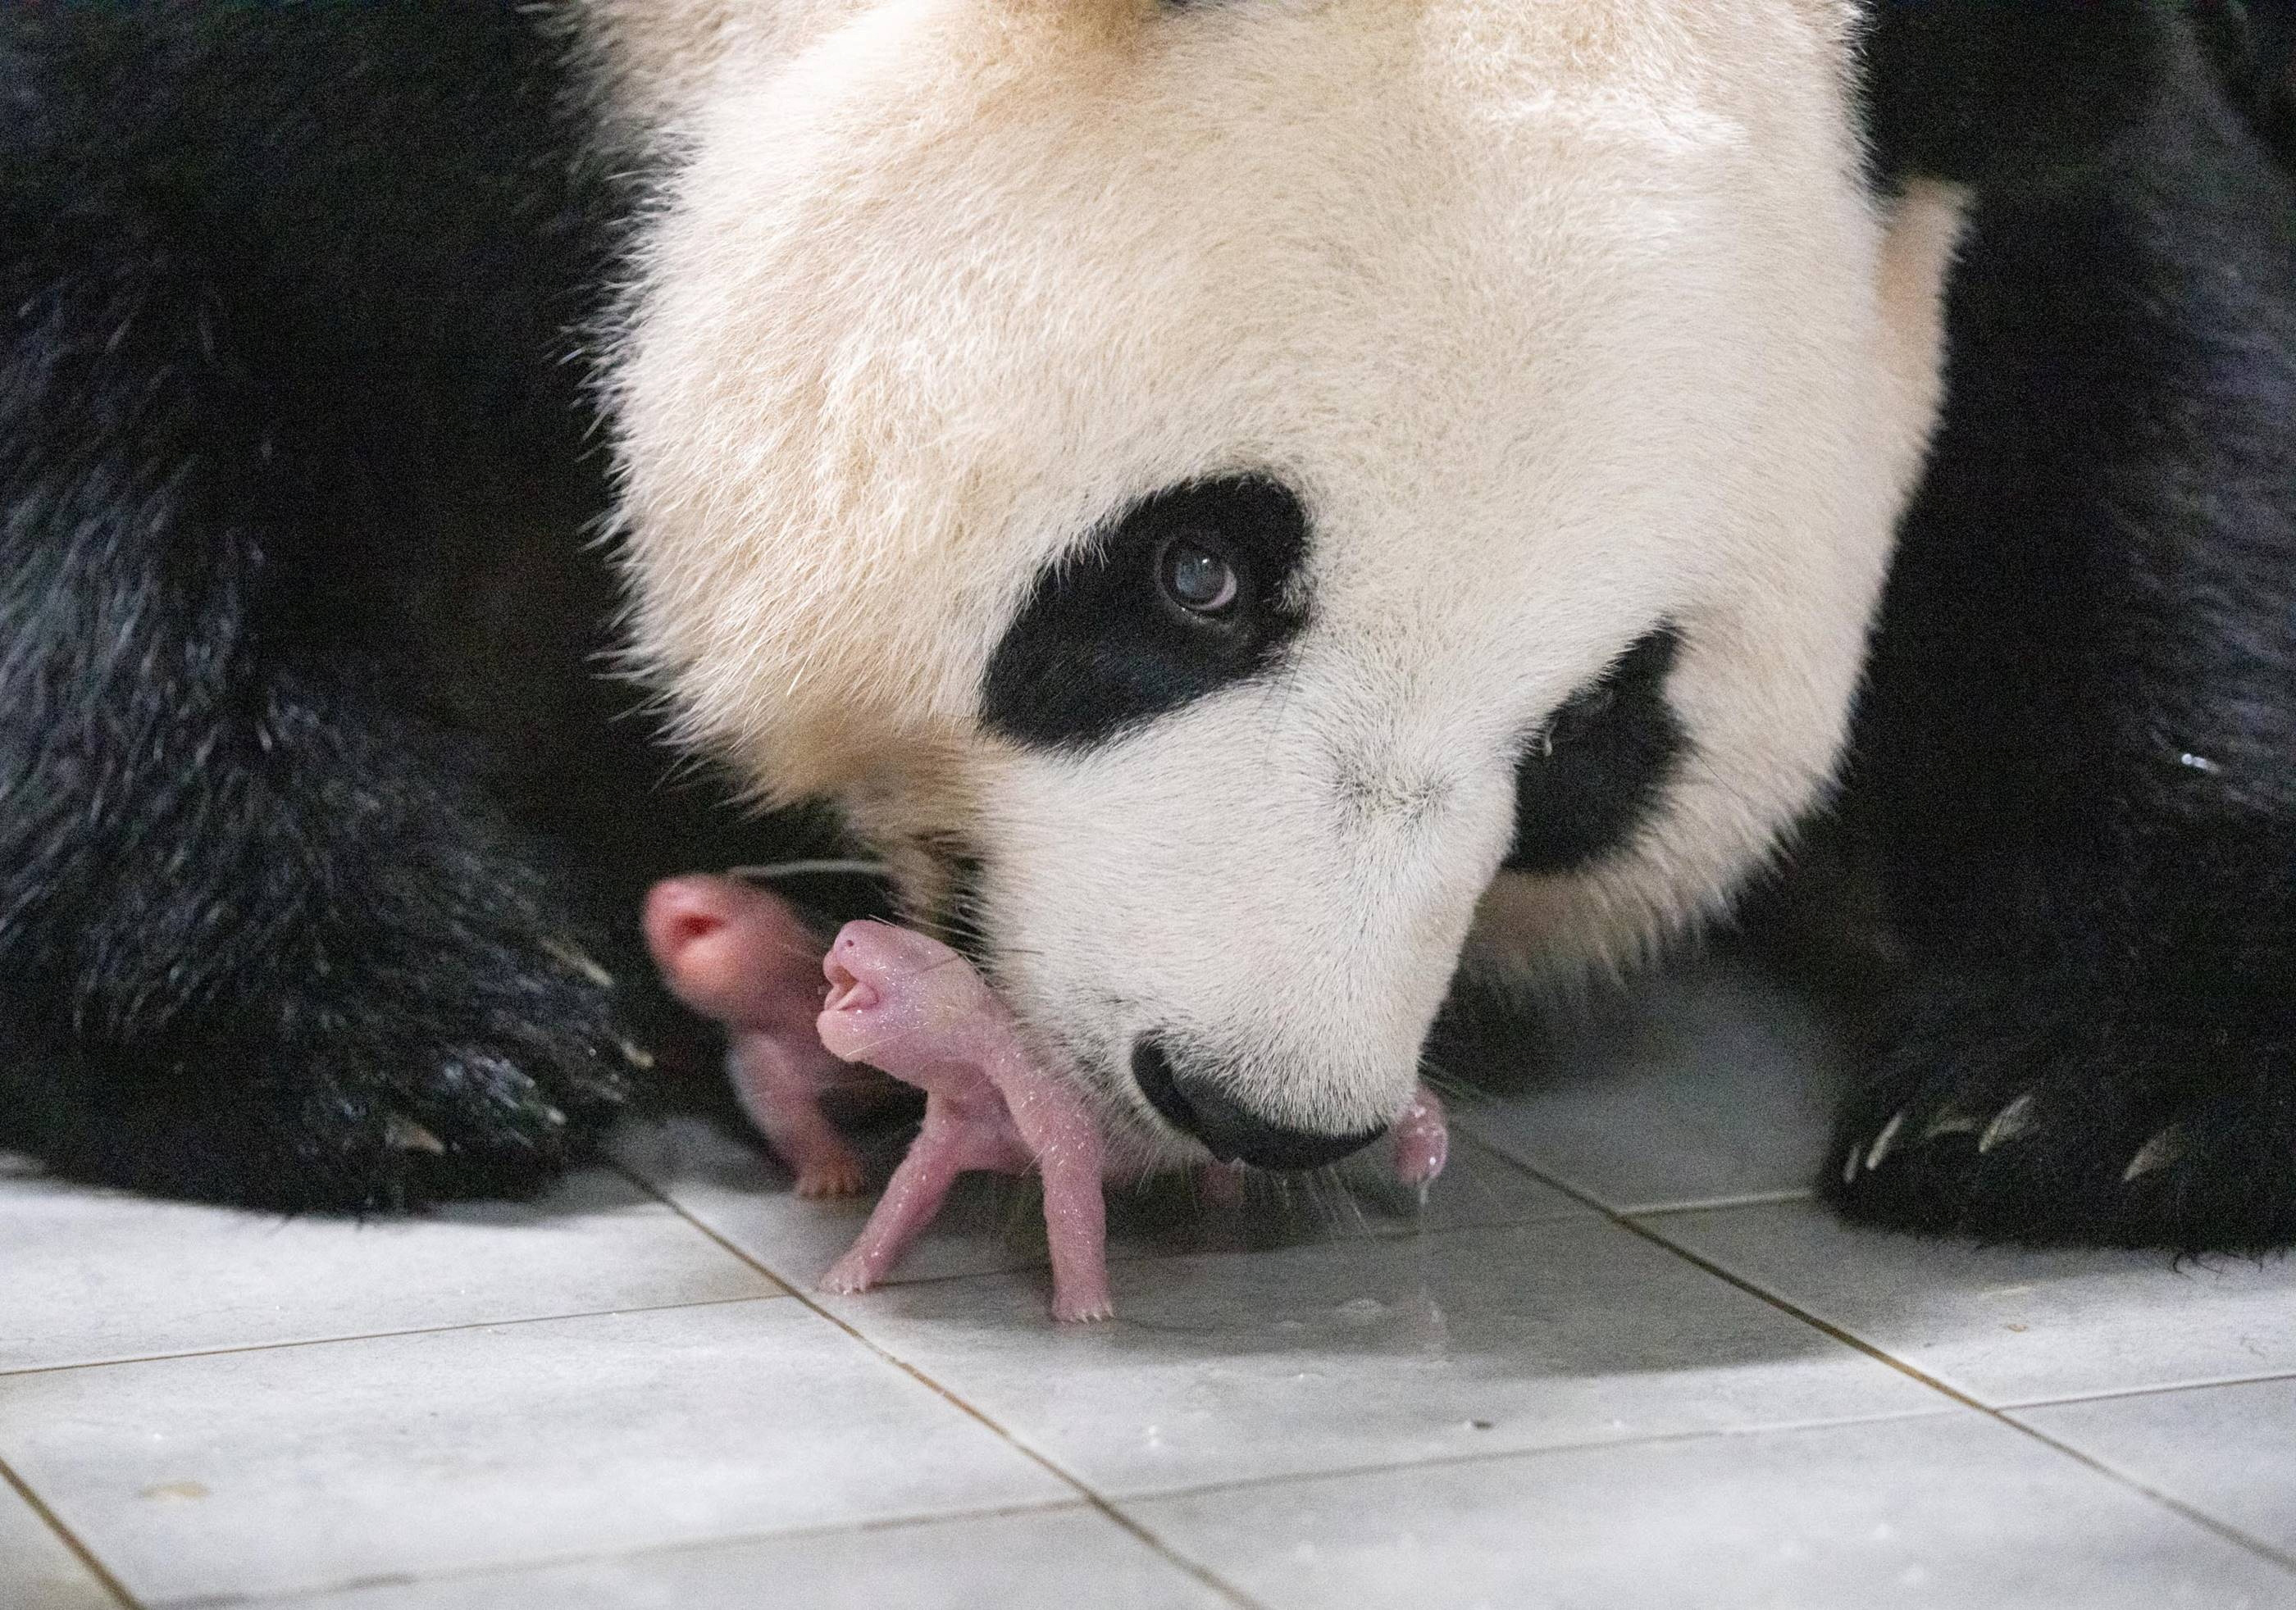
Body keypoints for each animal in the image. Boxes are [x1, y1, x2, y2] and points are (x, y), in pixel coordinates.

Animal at [0, 0, 2286, 1249]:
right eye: (1199, 575)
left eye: (1595, 740)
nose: (1257, 1098)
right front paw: (383, 1019)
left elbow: (2150, 383)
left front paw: (2092, 1089)